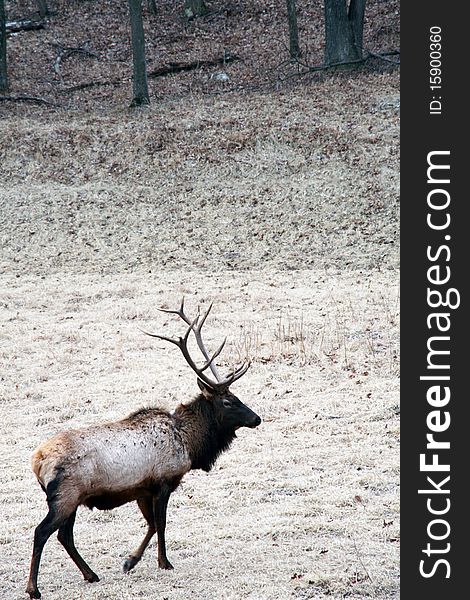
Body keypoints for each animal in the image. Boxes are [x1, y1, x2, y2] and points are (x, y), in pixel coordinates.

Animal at [25, 302, 260, 596]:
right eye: (228, 401)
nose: (257, 418)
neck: (189, 444)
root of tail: (37, 460)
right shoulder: (164, 481)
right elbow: (161, 523)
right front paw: (164, 562)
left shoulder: (141, 489)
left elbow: (150, 524)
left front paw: (129, 561)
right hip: (65, 496)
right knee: (42, 532)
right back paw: (34, 588)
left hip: (73, 499)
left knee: (64, 535)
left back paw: (91, 574)